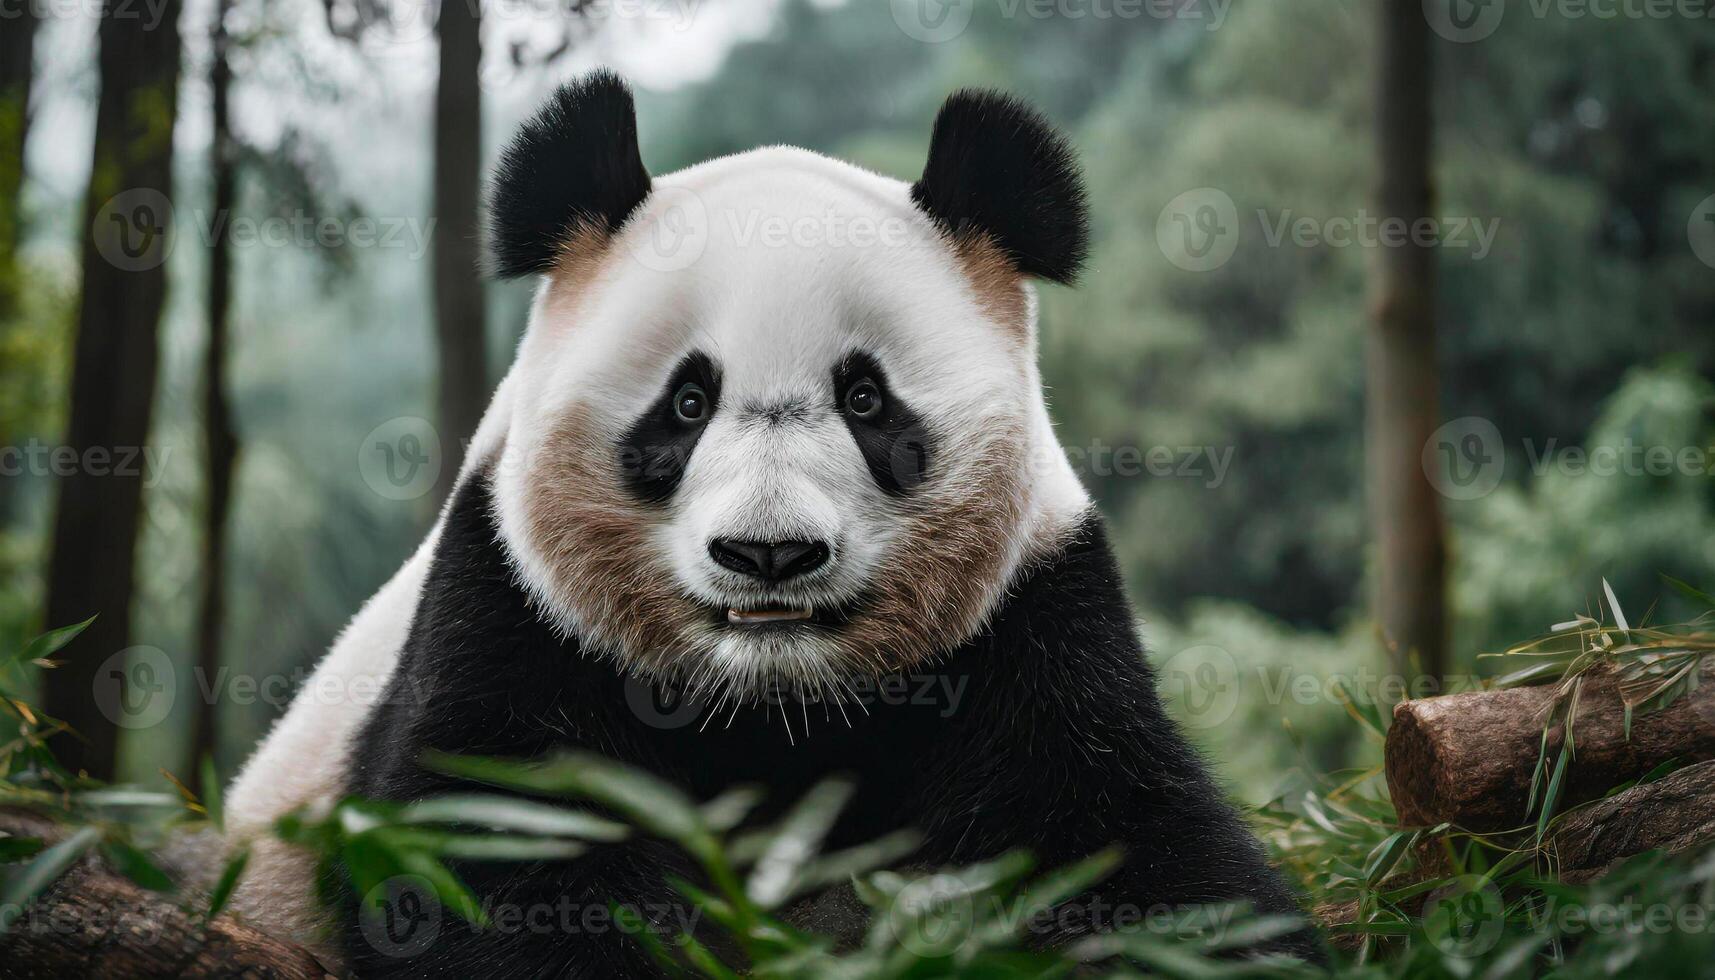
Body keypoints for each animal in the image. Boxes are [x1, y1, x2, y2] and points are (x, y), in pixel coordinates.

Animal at [228, 70, 1317, 974]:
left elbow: (1128, 848)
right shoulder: (510, 610)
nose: (769, 553)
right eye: (685, 403)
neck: (772, 708)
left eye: (868, 400)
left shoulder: (1033, 613)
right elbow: (486, 851)